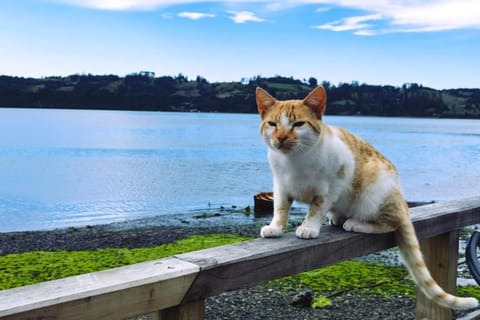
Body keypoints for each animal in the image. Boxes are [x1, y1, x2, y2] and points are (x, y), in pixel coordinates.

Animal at [256, 85, 478, 310]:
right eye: (273, 124)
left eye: (298, 124)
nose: (281, 137)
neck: (294, 160)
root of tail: (402, 202)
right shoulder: (281, 185)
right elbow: (280, 208)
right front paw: (275, 227)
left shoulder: (333, 182)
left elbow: (317, 208)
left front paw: (309, 227)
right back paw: (338, 218)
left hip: (374, 192)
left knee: (389, 223)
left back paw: (355, 223)